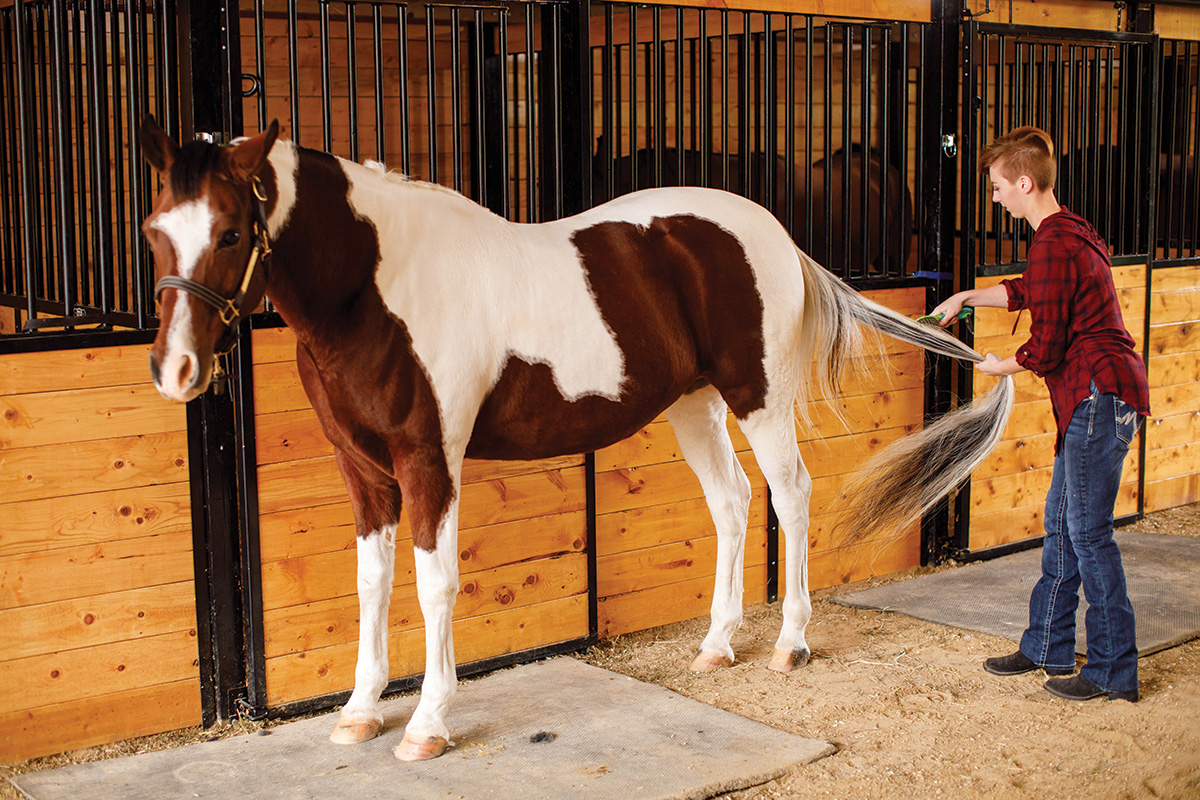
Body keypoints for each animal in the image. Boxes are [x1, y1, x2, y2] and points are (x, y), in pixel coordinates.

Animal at [136, 118, 1008, 762]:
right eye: (152, 229)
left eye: (229, 231)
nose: (175, 370)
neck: (378, 288)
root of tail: (771, 232)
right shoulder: (363, 470)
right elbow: (371, 584)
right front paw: (357, 711)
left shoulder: (428, 461)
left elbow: (434, 585)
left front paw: (426, 725)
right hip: (692, 404)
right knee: (731, 502)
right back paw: (716, 644)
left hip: (756, 397)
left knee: (789, 494)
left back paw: (789, 643)